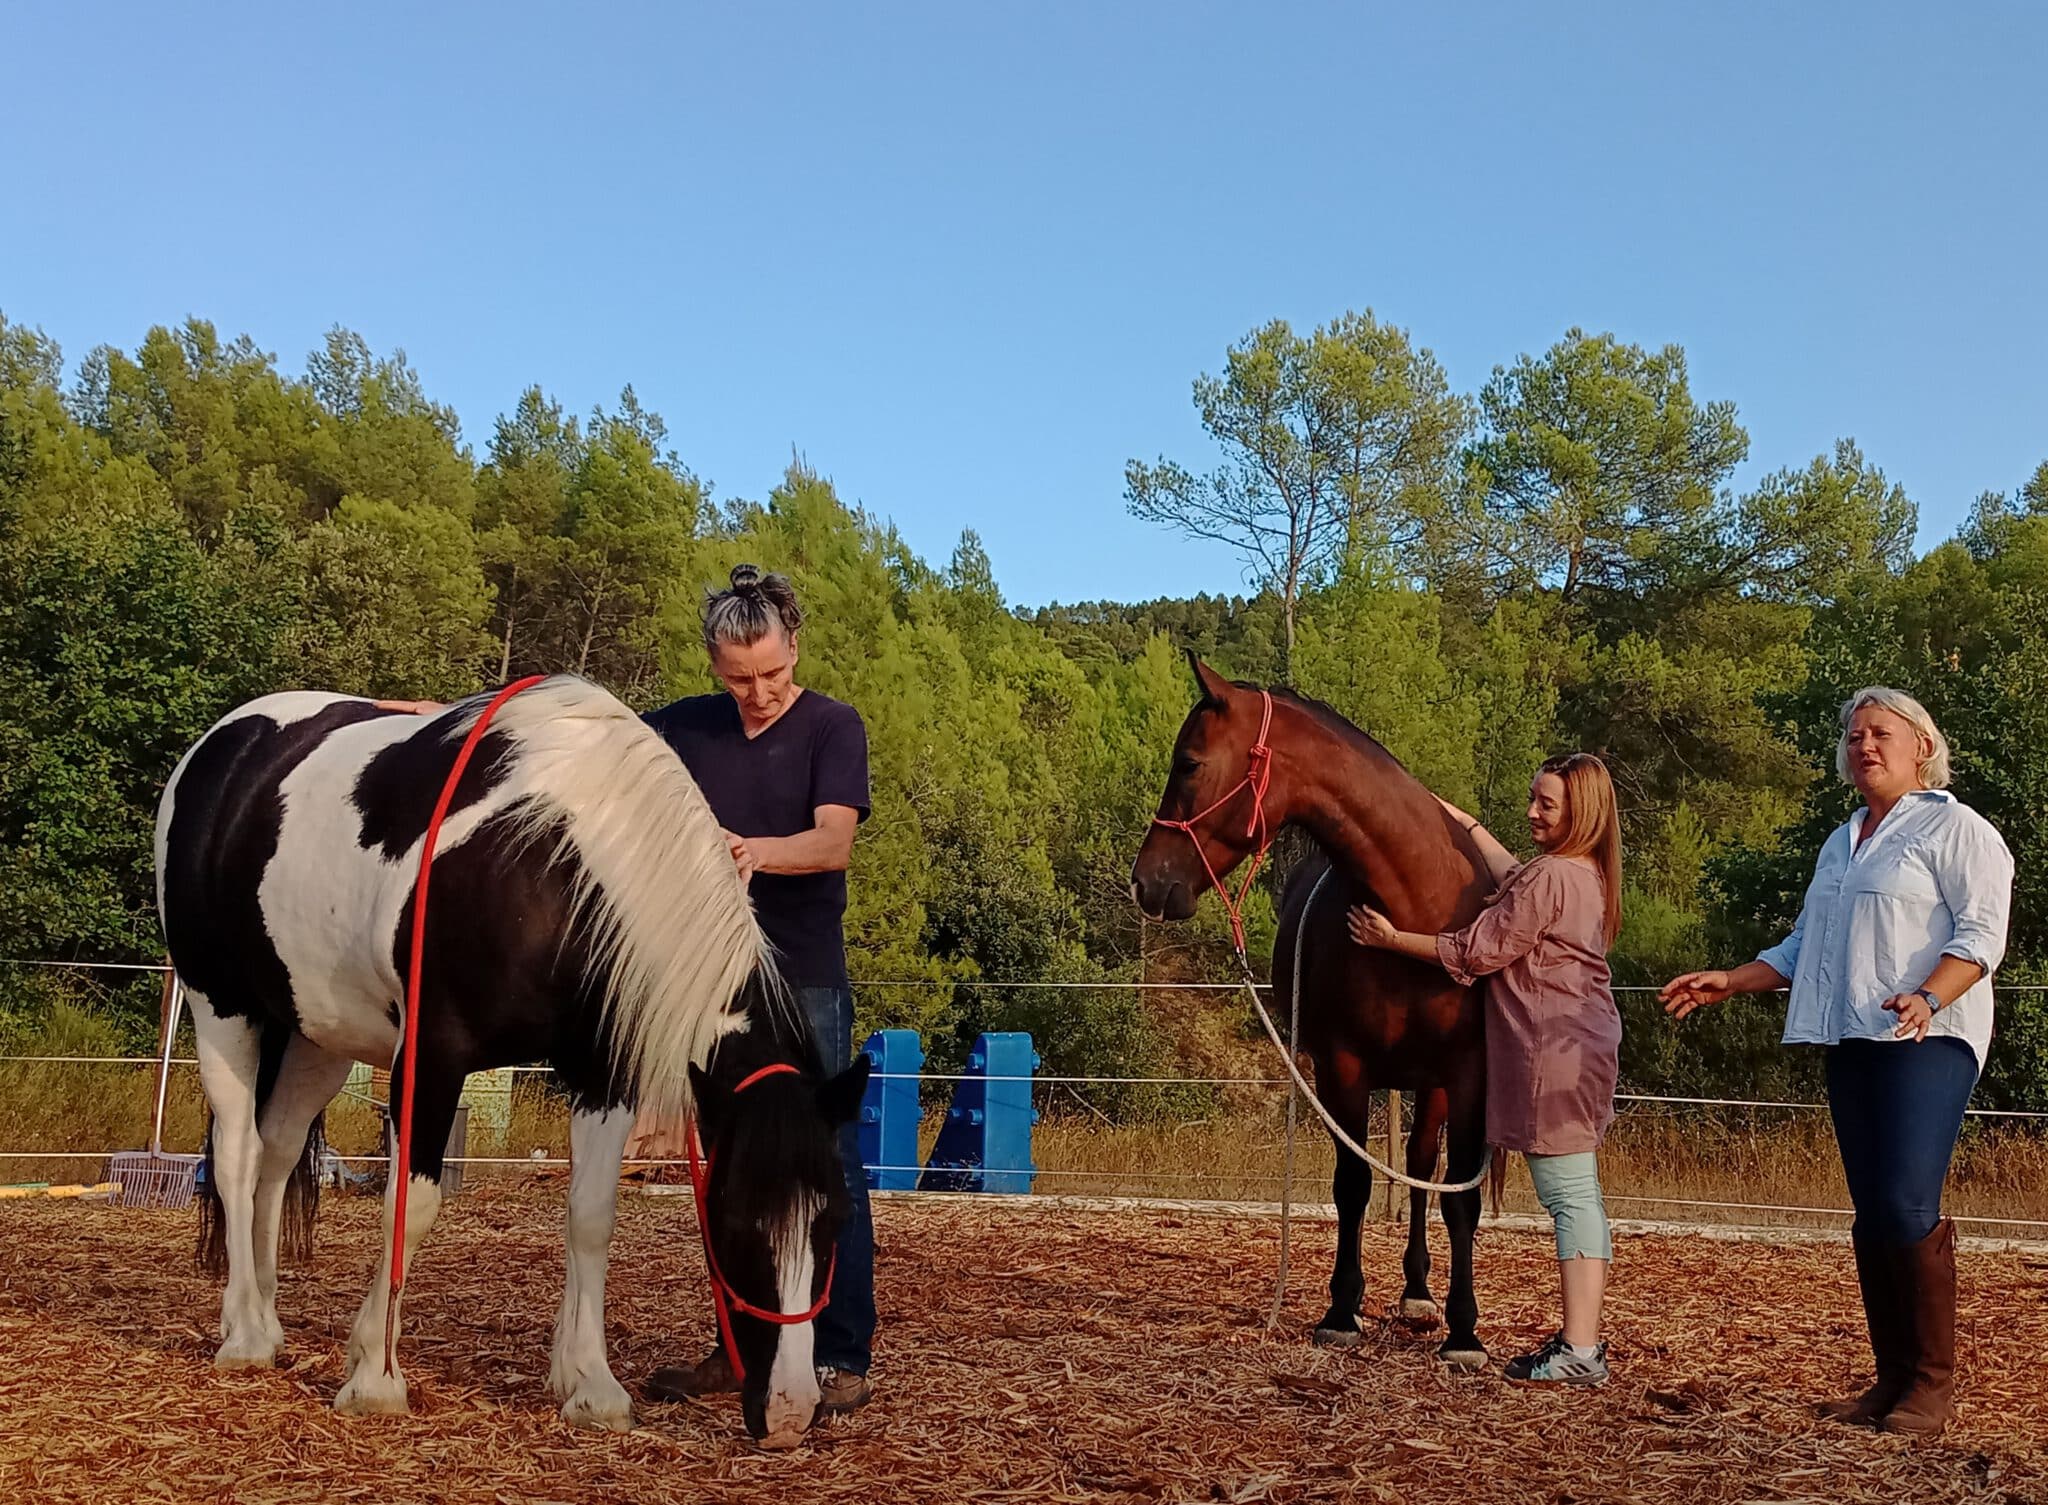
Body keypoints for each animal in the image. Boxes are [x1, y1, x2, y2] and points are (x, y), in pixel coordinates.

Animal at [154, 673, 869, 1447]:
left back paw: (264, 1316)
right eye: (734, 1219)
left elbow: (591, 1216)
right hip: (220, 1007)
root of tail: (220, 744)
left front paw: (590, 1385)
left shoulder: (604, 1073)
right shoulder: (431, 1057)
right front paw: (375, 1375)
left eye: (834, 1220)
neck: (552, 867)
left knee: (279, 1156)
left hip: (317, 1033)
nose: (792, 1412)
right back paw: (245, 1338)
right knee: (238, 1155)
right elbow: (412, 1205)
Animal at [1130, 656, 1496, 1365]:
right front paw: (1341, 1310)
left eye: (1188, 763)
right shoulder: (1342, 1069)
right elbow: (1352, 1185)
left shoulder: (1467, 1075)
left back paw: (1419, 1296)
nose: (1146, 882)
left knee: (1420, 1169)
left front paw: (1464, 1330)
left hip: (1432, 1085)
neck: (1417, 907)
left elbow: (1458, 1197)